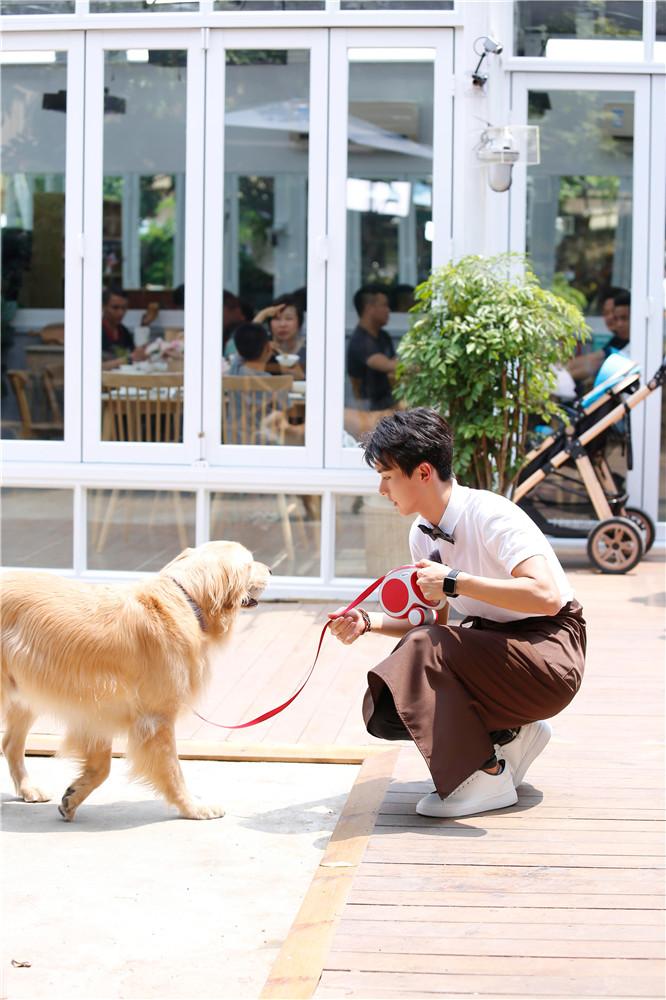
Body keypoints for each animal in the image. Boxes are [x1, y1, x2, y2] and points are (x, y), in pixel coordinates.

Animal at [1, 548, 270, 820]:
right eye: (250, 563)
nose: (270, 570)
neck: (186, 599)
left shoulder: (97, 710)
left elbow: (102, 767)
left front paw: (73, 796)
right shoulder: (155, 718)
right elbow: (173, 770)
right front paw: (194, 807)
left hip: (26, 693)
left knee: (10, 744)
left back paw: (29, 788)